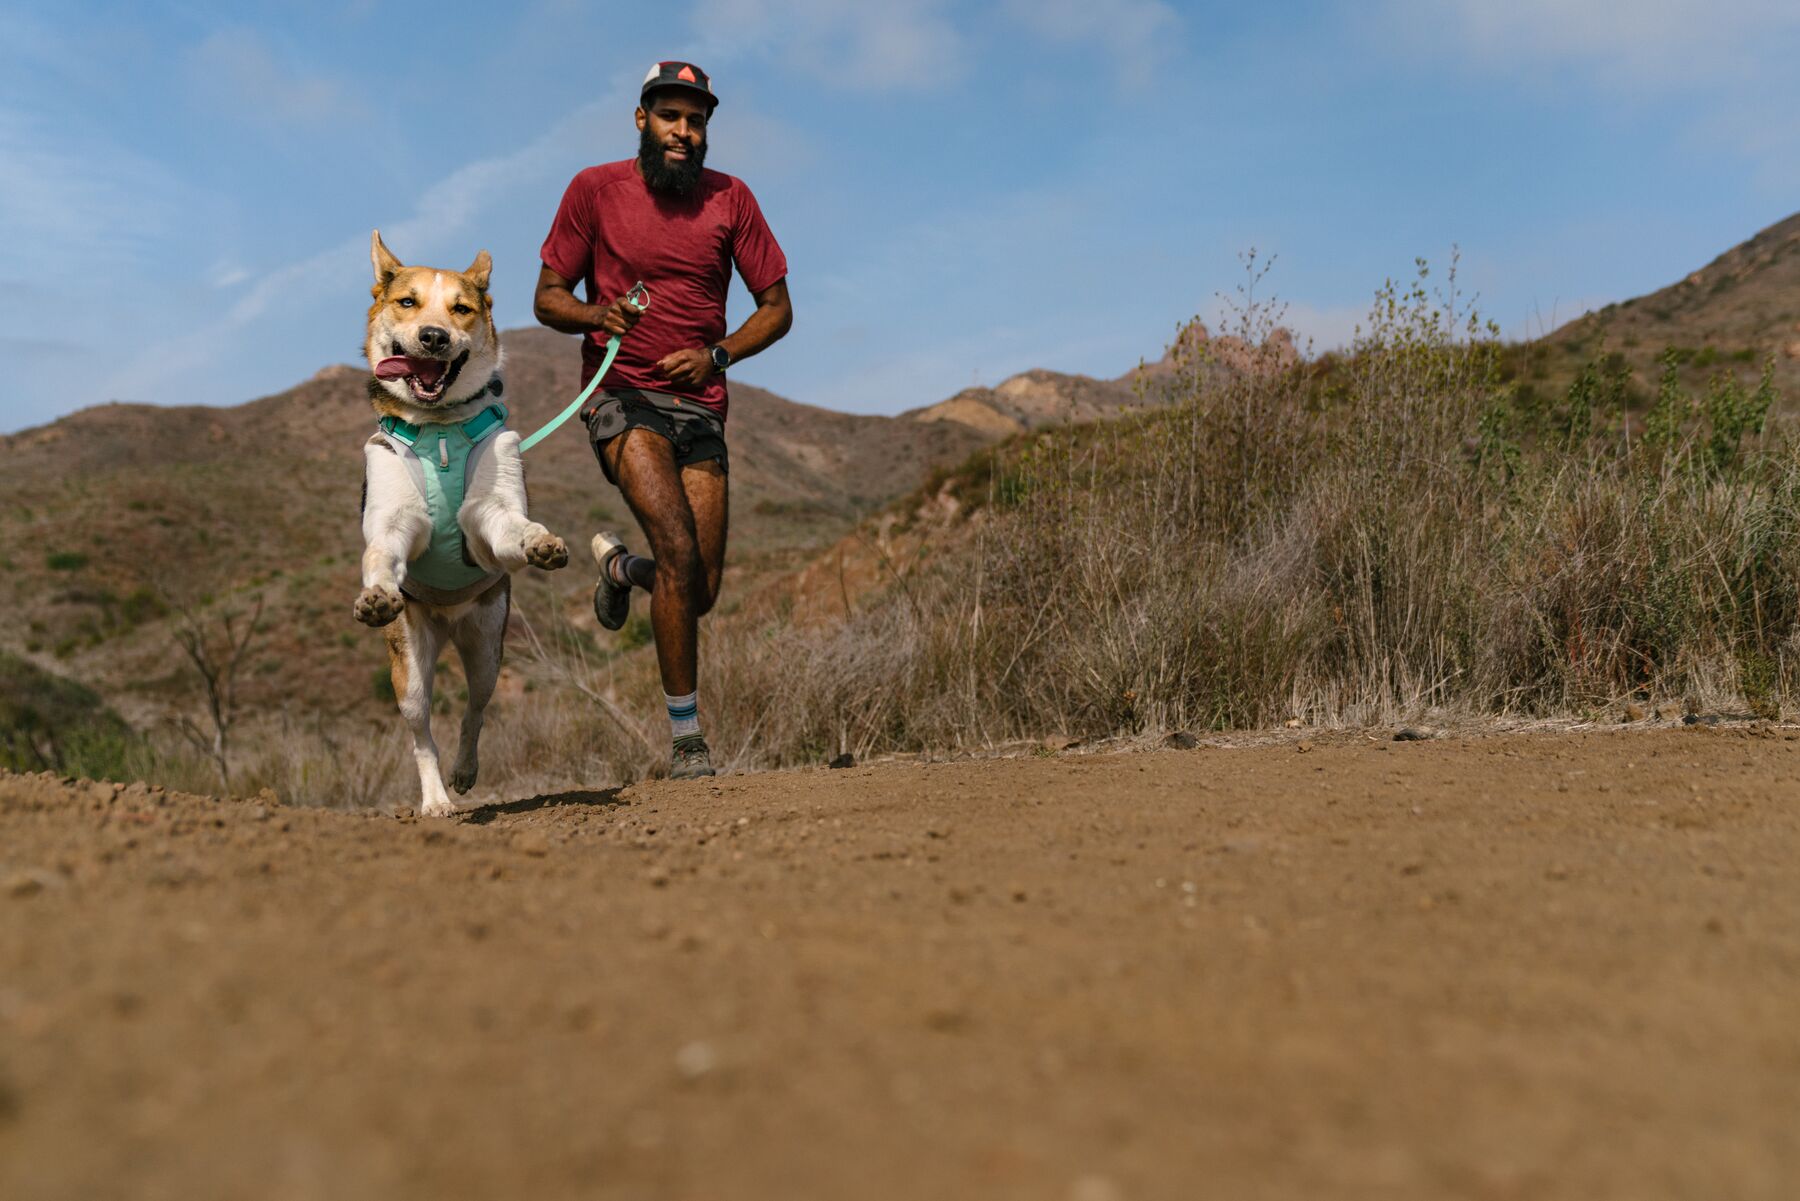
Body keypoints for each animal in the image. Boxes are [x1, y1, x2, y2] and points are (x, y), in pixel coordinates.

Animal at [354, 232, 565, 817]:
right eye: (408, 302)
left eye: (462, 308)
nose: (434, 336)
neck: (439, 429)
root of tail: (447, 622)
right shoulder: (394, 521)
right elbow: (381, 550)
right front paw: (375, 592)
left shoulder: (486, 516)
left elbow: (508, 524)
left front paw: (539, 541)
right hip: (409, 666)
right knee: (421, 731)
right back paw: (436, 801)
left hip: (488, 648)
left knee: (475, 709)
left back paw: (465, 772)